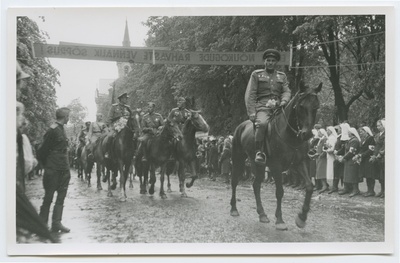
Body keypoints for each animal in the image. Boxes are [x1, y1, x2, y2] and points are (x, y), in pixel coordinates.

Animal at [230, 82, 320, 231]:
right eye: (301, 106)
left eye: (316, 107)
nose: (307, 134)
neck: (290, 135)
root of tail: (241, 126)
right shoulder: (276, 166)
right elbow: (279, 192)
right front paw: (280, 220)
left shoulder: (300, 163)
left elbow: (309, 186)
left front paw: (301, 217)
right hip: (238, 159)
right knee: (235, 181)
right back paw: (233, 209)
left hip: (258, 165)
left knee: (256, 185)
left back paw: (262, 214)